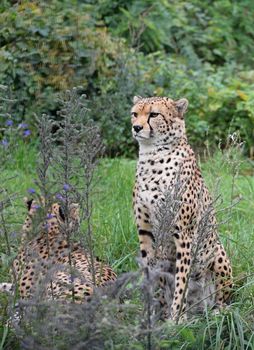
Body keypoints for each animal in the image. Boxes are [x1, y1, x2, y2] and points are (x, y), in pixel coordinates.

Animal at [132, 95, 233, 320]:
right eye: (135, 114)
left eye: (154, 114)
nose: (136, 127)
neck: (152, 156)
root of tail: (200, 309)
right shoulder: (145, 231)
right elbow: (153, 274)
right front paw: (153, 314)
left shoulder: (183, 233)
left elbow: (181, 280)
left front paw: (176, 319)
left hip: (217, 252)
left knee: (224, 301)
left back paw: (215, 313)